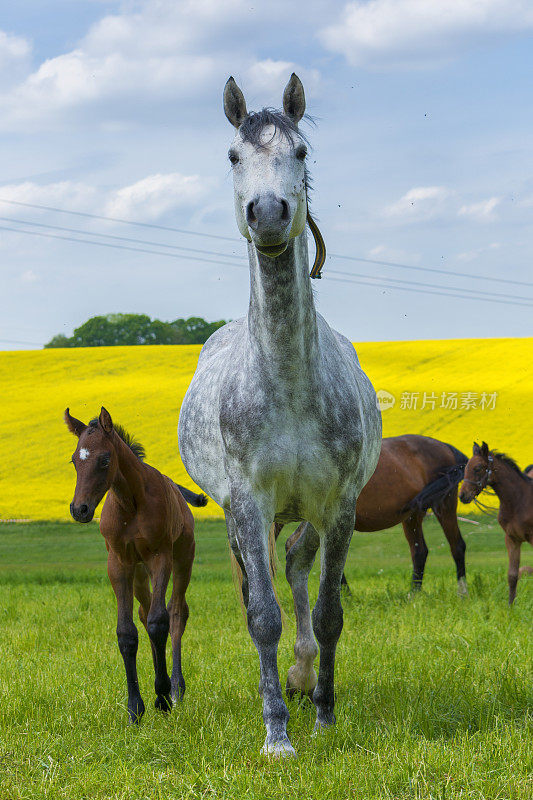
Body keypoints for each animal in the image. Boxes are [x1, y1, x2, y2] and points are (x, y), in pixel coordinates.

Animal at [62, 410, 204, 720]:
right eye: (75, 459)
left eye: (105, 459)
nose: (80, 510)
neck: (131, 504)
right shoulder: (119, 563)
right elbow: (127, 632)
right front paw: (135, 707)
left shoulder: (160, 557)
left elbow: (159, 621)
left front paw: (162, 695)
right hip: (139, 574)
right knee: (144, 610)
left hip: (182, 559)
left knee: (176, 613)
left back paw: (176, 688)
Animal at [179, 75, 382, 756]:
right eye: (233, 156)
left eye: (301, 151)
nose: (268, 214)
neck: (289, 385)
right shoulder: (247, 501)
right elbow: (262, 615)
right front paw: (277, 735)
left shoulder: (339, 504)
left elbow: (328, 612)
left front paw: (323, 715)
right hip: (244, 516)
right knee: (259, 587)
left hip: (309, 514)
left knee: (295, 564)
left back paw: (302, 675)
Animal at [276, 432, 468, 592]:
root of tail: (445, 447)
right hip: (413, 515)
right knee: (420, 551)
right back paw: (414, 594)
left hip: (444, 505)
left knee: (457, 546)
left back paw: (462, 592)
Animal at [458, 440, 532, 604]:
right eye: (465, 468)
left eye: (478, 468)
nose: (463, 496)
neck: (519, 500)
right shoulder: (512, 539)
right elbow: (512, 575)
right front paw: (510, 606)